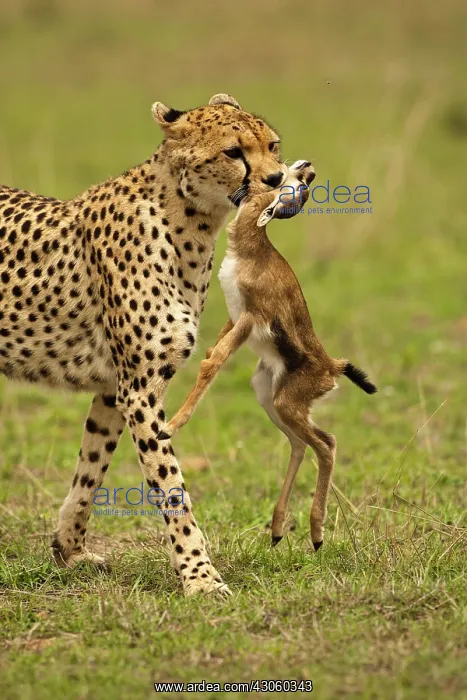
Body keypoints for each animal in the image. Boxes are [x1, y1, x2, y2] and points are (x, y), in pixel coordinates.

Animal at [0, 93, 288, 595]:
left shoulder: (117, 389)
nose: (275, 179)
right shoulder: (140, 390)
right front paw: (200, 577)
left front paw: (69, 550)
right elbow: (171, 487)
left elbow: (91, 468)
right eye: (234, 152)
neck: (189, 223)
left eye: (272, 145)